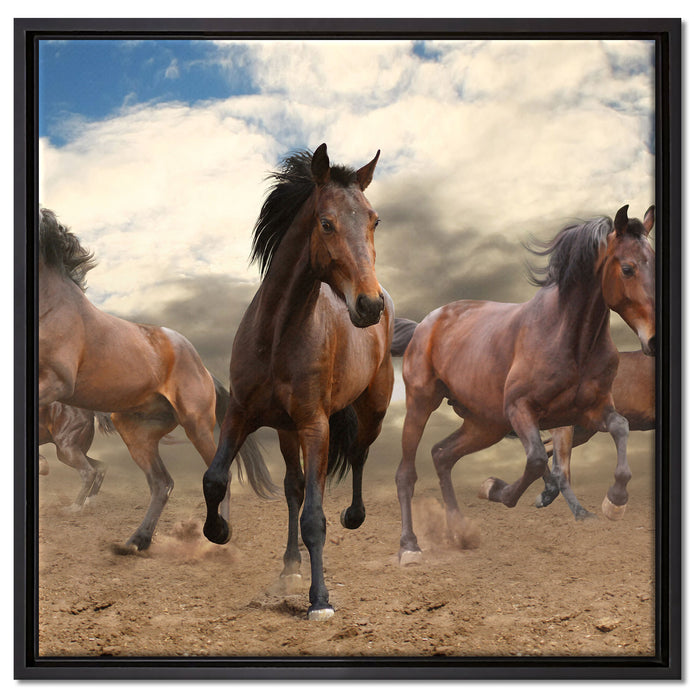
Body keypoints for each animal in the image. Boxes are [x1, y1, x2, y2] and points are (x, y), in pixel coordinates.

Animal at [38, 208, 275, 552]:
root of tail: (204, 369)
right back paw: (137, 541)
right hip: (136, 431)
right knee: (162, 483)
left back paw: (218, 536)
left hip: (195, 424)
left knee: (220, 477)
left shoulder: (57, 381)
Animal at [202, 144, 394, 620]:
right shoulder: (241, 415)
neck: (277, 336)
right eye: (326, 222)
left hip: (372, 410)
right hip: (286, 431)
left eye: (373, 220)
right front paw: (219, 531)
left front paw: (320, 600)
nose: (369, 305)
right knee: (293, 487)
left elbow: (314, 518)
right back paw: (290, 566)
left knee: (358, 454)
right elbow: (215, 479)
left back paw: (353, 517)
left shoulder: (315, 425)